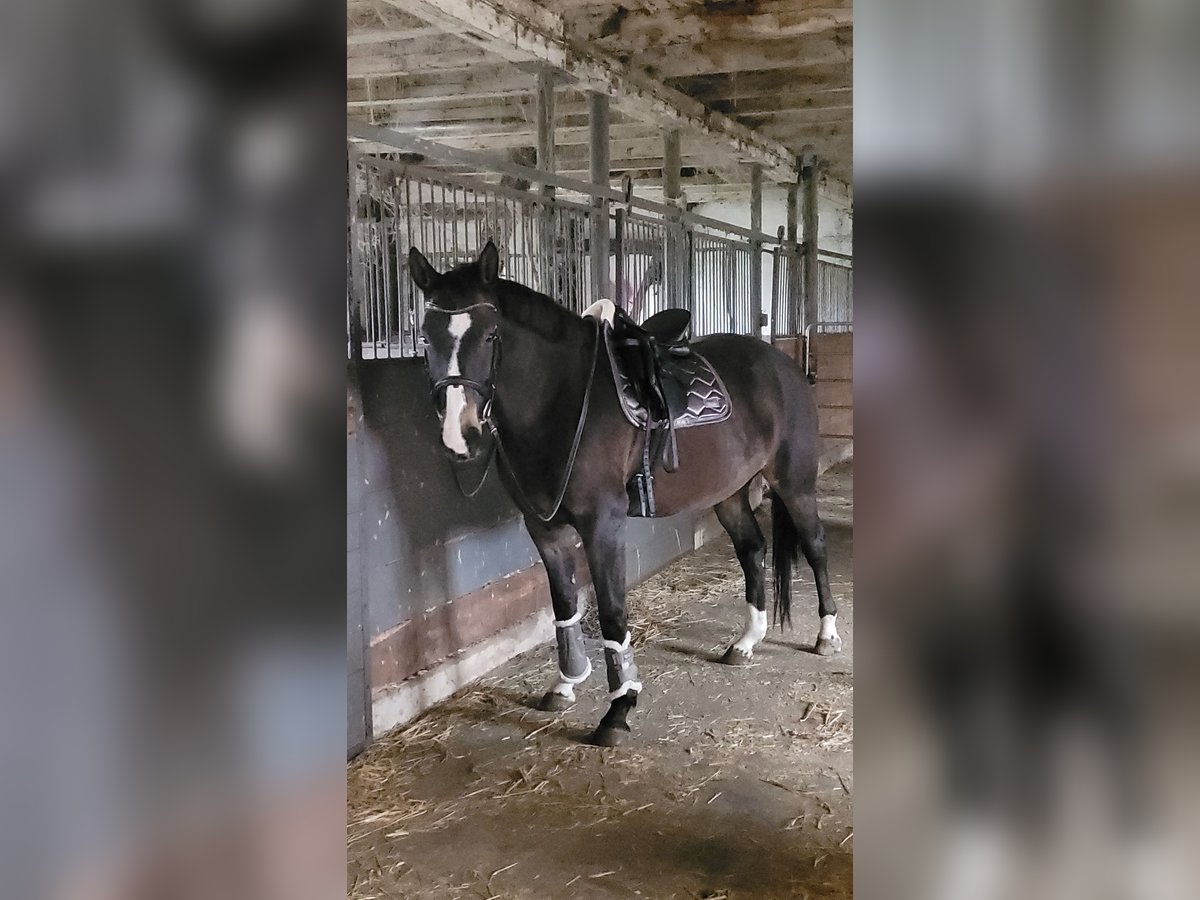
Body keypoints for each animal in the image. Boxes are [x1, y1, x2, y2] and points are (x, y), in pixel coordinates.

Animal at [408, 240, 840, 748]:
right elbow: (565, 605)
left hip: (795, 484)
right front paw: (565, 683)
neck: (562, 399)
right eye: (425, 337)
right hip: (729, 492)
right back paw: (746, 641)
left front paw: (618, 709)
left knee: (815, 547)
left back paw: (827, 636)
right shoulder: (545, 528)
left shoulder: (603, 525)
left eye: (492, 334)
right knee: (752, 548)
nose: (462, 438)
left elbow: (612, 612)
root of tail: (785, 365)